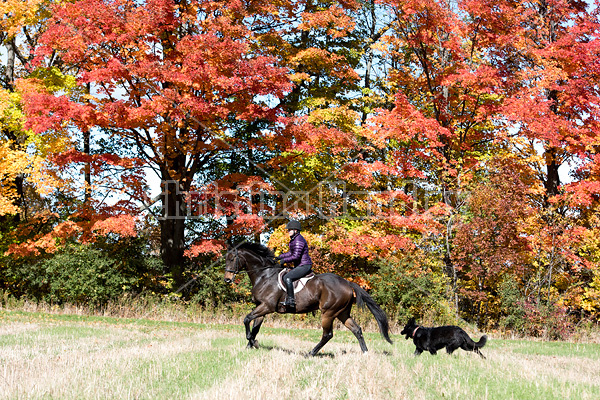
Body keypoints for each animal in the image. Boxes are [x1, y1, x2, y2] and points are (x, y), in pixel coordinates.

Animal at [223, 242, 392, 354]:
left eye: (232, 259)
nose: (227, 280)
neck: (264, 275)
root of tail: (347, 283)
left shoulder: (266, 306)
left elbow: (246, 319)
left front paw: (253, 342)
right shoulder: (262, 307)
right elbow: (255, 327)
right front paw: (250, 345)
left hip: (328, 313)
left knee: (328, 334)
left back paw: (311, 353)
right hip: (342, 313)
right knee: (357, 329)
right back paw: (365, 352)